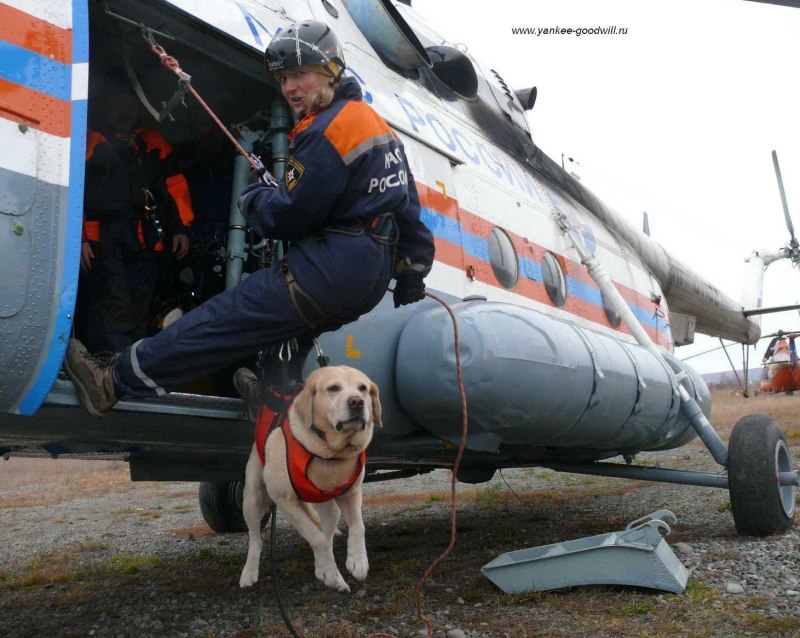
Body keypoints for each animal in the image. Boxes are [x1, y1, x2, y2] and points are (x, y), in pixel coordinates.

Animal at [238, 368, 382, 592]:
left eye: (363, 388)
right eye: (333, 388)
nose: (357, 402)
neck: (329, 453)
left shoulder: (350, 494)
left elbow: (358, 527)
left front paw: (357, 561)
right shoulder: (285, 501)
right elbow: (316, 538)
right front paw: (331, 573)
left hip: (331, 508)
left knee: (327, 535)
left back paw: (326, 570)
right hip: (252, 499)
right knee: (256, 540)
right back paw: (249, 573)